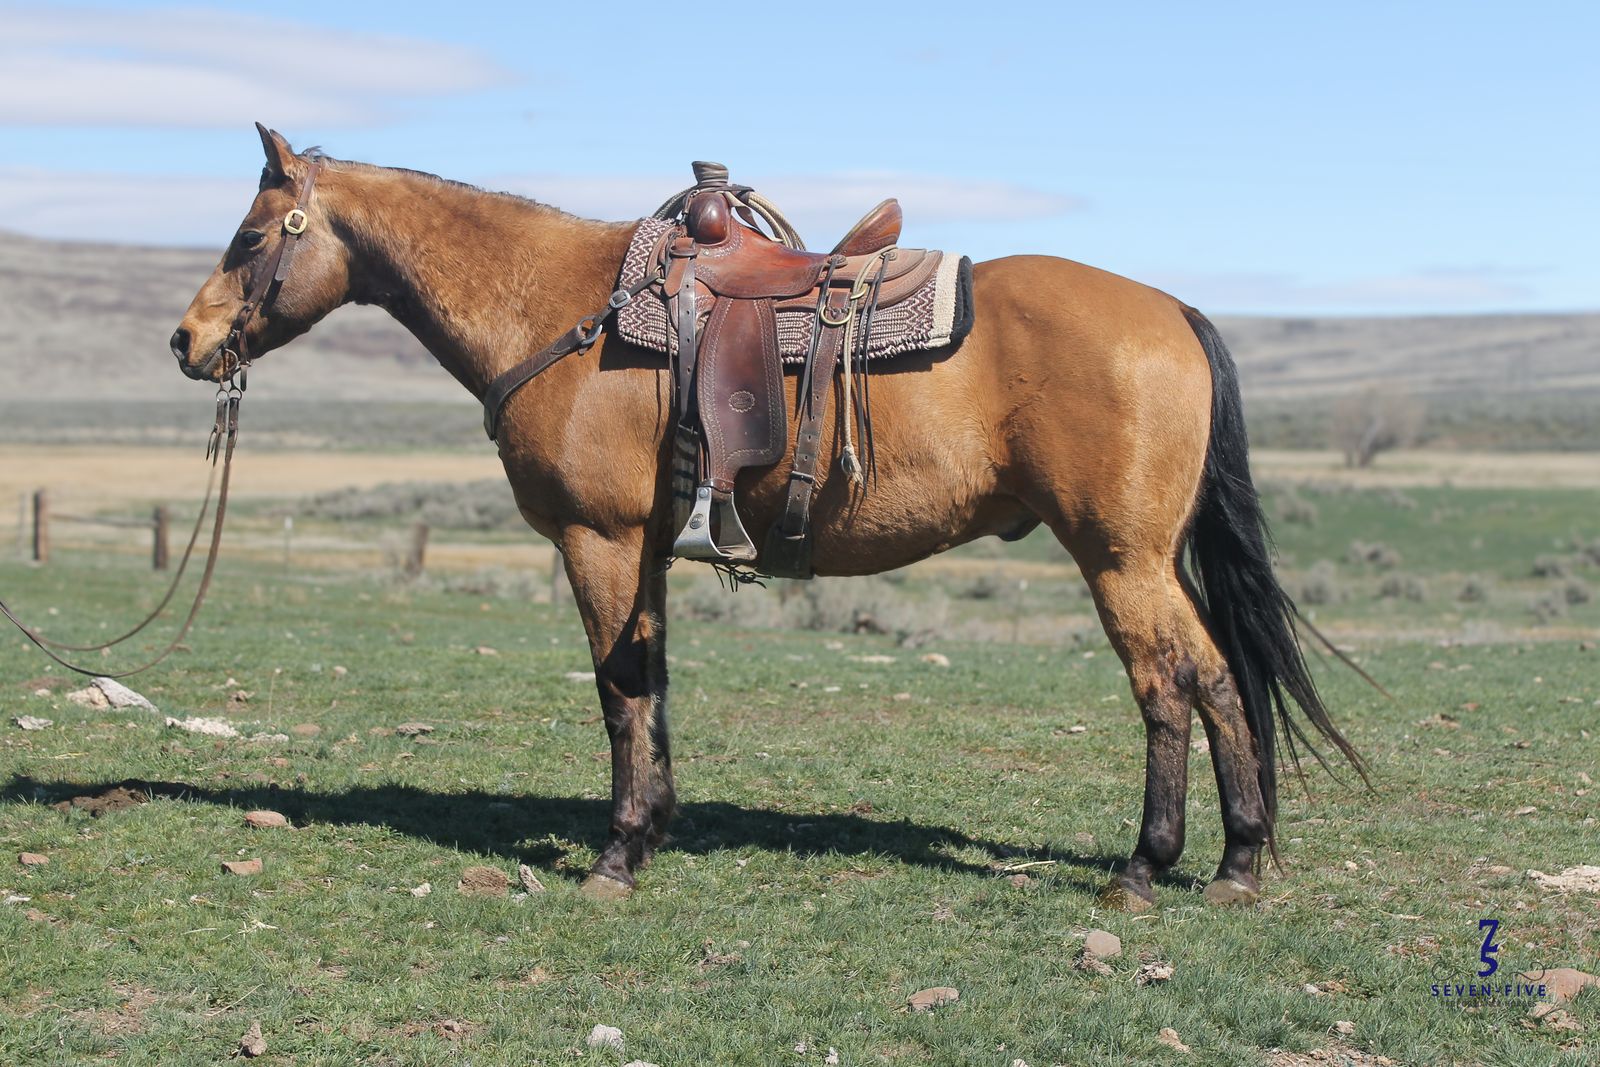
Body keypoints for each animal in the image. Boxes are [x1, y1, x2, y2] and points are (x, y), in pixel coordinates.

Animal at [169, 125, 1361, 908]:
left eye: (249, 235)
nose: (187, 341)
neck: (561, 305)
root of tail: (1174, 310)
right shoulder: (645, 548)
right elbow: (650, 684)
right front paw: (653, 828)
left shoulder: (598, 542)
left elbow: (617, 691)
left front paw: (615, 855)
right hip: (1145, 559)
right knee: (1218, 678)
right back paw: (1236, 860)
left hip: (1121, 558)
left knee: (1170, 681)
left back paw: (1147, 865)